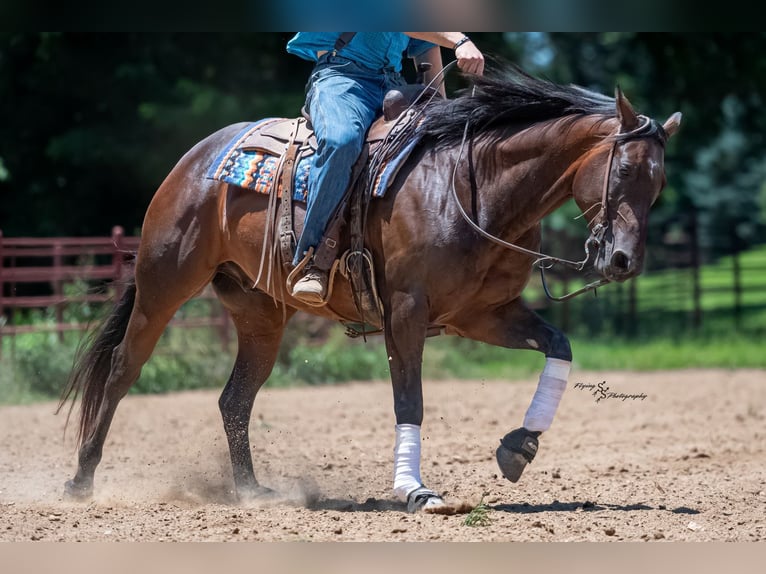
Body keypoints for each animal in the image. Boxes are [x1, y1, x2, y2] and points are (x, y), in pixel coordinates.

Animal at [58, 65, 681, 512]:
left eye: (660, 185)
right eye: (625, 171)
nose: (624, 261)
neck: (469, 185)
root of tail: (195, 159)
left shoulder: (484, 314)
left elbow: (560, 346)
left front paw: (518, 447)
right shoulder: (405, 312)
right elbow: (411, 400)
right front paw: (416, 491)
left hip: (260, 313)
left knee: (234, 399)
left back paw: (252, 493)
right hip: (163, 285)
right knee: (121, 371)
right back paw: (81, 481)